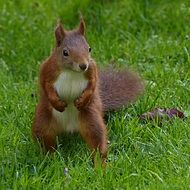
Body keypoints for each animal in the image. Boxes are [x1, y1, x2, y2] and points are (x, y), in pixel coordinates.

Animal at [31, 17, 143, 166]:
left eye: (89, 48)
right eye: (65, 52)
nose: (83, 65)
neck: (71, 71)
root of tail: (69, 128)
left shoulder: (92, 69)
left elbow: (93, 85)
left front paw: (82, 100)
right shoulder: (47, 69)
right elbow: (46, 86)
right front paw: (57, 103)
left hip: (91, 119)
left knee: (97, 142)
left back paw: (100, 165)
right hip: (43, 122)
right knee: (45, 142)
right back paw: (51, 160)